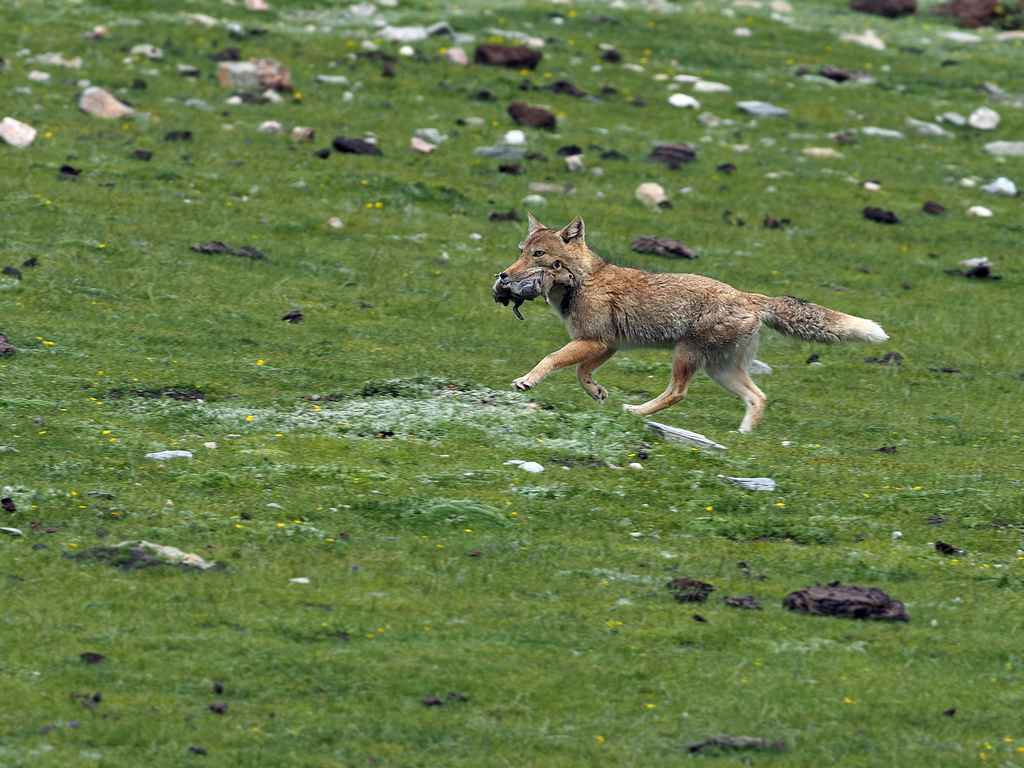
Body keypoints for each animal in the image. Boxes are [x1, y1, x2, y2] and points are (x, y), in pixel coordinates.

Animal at [491, 214, 888, 433]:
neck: (583, 280)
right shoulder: (607, 344)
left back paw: (636, 411)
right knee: (758, 397)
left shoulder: (595, 341)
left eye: (539, 255)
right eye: (521, 251)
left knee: (677, 393)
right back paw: (742, 436)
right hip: (720, 371)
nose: (503, 276)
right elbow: (579, 372)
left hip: (686, 358)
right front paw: (596, 391)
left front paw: (528, 381)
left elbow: (551, 360)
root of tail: (748, 296)